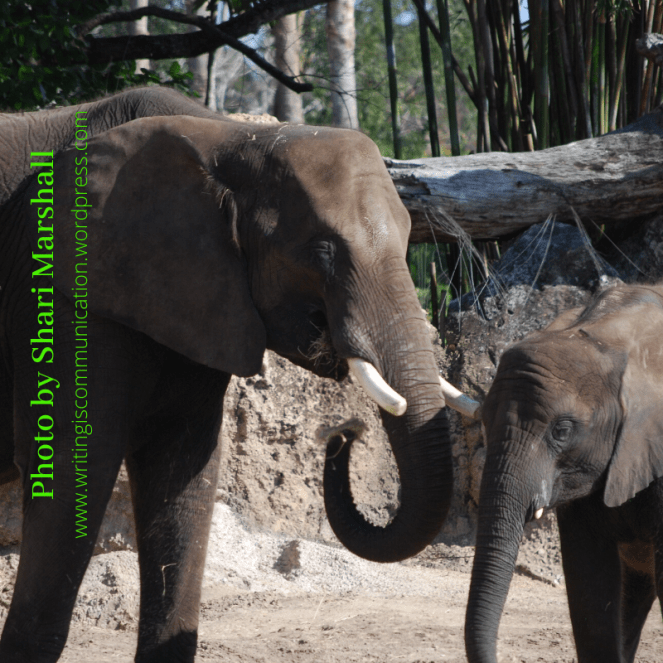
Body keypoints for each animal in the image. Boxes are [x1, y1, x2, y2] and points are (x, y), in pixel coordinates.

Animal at [0, 87, 475, 662]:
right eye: (320, 251)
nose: (344, 435)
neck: (227, 137)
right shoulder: (62, 292)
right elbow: (74, 463)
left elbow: (185, 467)